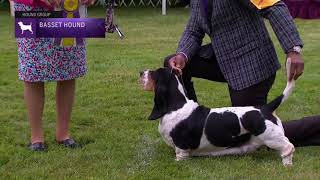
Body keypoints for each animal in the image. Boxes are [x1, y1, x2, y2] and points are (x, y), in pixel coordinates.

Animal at [141, 59, 296, 166]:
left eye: (155, 73)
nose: (141, 72)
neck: (176, 106)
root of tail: (266, 108)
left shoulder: (181, 147)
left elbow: (180, 155)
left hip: (270, 137)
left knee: (289, 147)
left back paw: (287, 165)